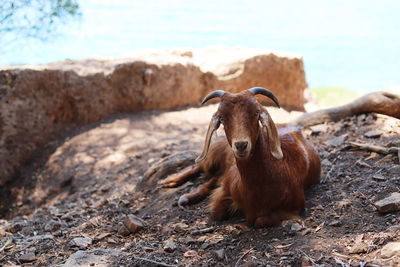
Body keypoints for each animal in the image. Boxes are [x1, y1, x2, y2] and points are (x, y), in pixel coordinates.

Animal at [161, 88, 320, 228]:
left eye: (256, 113)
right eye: (222, 118)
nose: (241, 145)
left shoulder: (297, 205)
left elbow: (260, 220)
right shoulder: (226, 188)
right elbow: (217, 212)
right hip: (215, 153)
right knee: (200, 167)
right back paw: (170, 182)